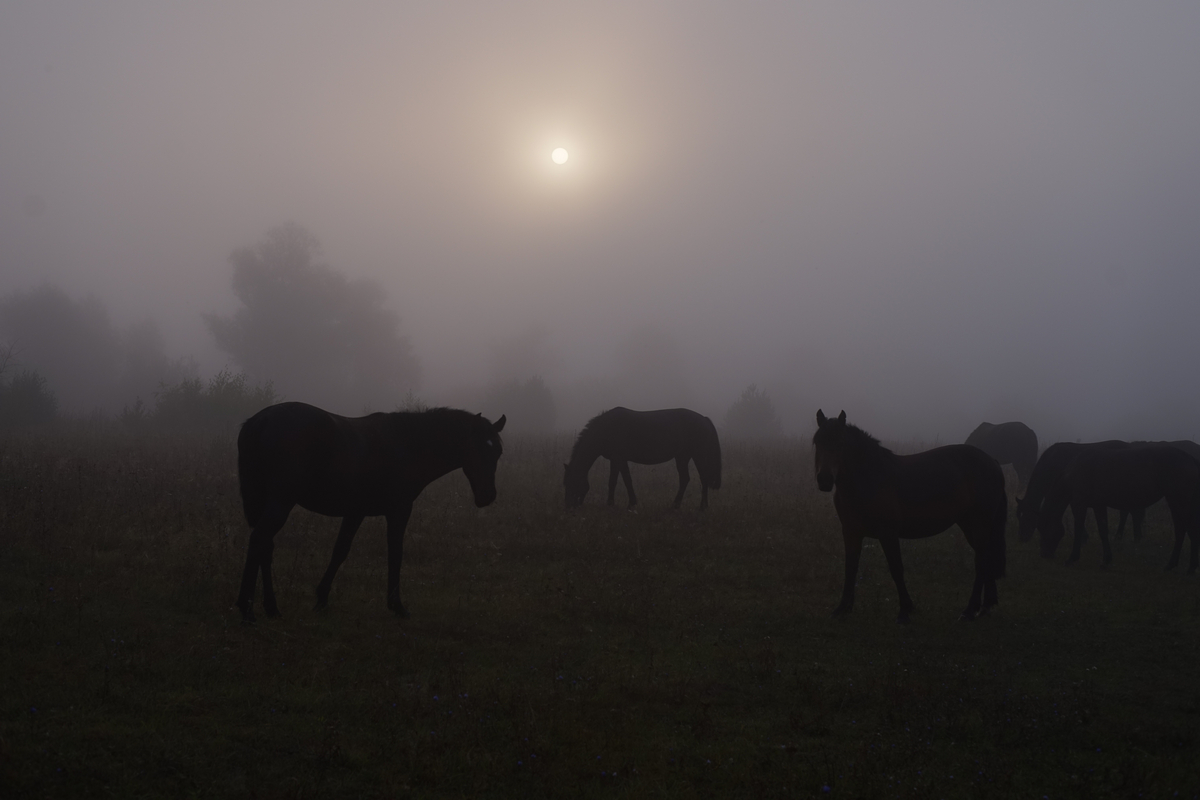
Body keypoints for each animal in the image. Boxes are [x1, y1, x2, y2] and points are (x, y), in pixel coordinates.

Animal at [236, 402, 504, 623]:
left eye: (498, 452)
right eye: (477, 448)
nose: (487, 496)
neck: (408, 444)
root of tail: (259, 420)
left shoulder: (355, 512)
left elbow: (340, 551)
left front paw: (322, 598)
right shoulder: (398, 511)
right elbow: (395, 554)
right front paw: (397, 605)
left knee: (265, 547)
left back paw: (271, 608)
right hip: (281, 502)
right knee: (259, 540)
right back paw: (246, 609)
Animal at [561, 410, 720, 510]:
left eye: (571, 483)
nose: (568, 507)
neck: (606, 429)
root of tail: (704, 419)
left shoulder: (619, 459)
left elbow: (622, 480)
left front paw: (625, 504)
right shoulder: (616, 460)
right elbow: (616, 481)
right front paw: (617, 503)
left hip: (698, 455)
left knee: (703, 478)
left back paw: (702, 506)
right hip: (682, 457)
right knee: (685, 479)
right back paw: (676, 505)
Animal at [811, 410, 1008, 623]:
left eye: (840, 443)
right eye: (817, 442)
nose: (824, 480)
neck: (870, 479)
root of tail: (992, 461)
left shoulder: (888, 533)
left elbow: (896, 568)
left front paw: (905, 610)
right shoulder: (851, 532)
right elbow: (851, 567)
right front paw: (842, 608)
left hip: (979, 524)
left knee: (981, 562)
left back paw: (969, 610)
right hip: (969, 525)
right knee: (986, 558)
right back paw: (986, 605)